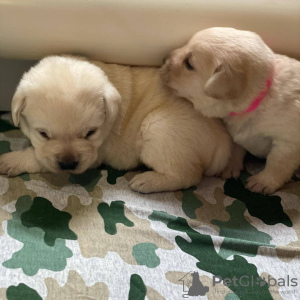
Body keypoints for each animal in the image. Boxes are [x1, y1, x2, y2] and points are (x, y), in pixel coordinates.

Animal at [0, 55, 232, 193]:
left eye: (90, 133)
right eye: (43, 134)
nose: (68, 164)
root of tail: (224, 145)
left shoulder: (95, 153)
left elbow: (37, 158)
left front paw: (11, 160)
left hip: (157, 128)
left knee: (188, 175)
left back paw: (147, 181)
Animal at [161, 27, 300, 195]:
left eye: (189, 64)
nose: (163, 59)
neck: (260, 97)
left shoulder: (288, 142)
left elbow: (276, 164)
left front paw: (262, 182)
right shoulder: (234, 132)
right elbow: (235, 148)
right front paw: (230, 167)